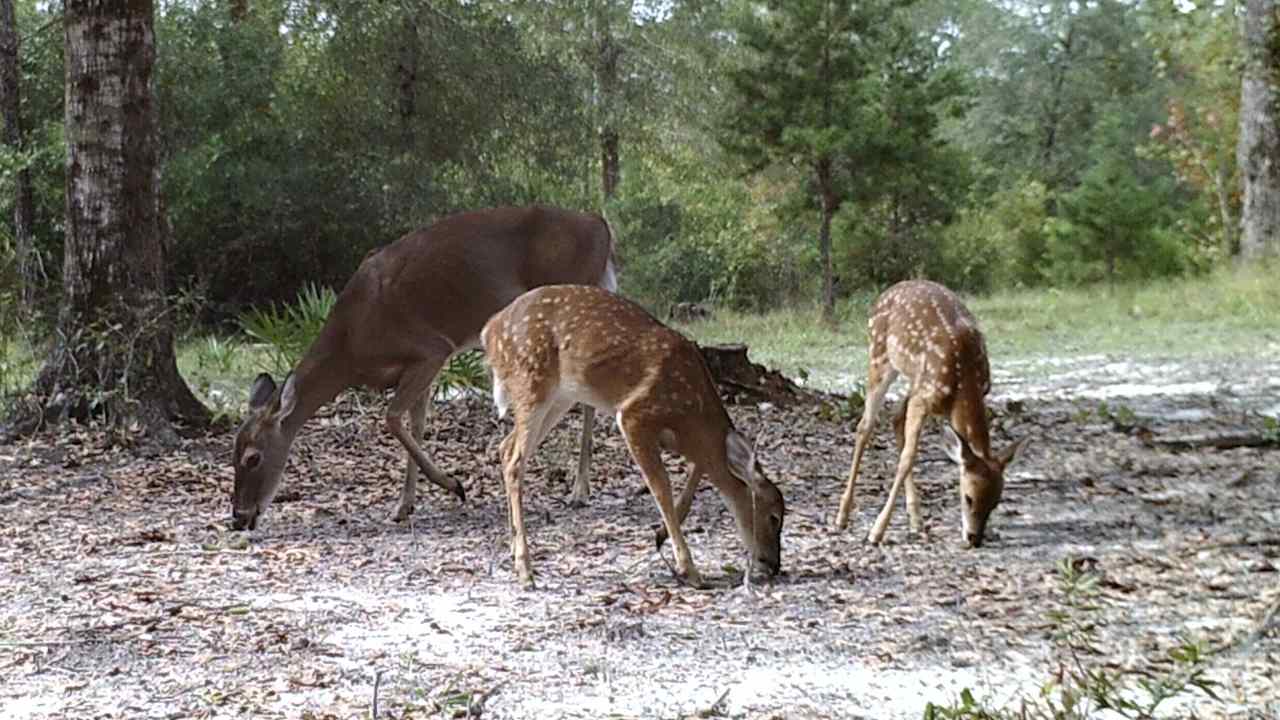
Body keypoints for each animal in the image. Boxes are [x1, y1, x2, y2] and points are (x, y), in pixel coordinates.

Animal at [231, 204, 619, 530]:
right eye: (232, 454)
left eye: (253, 458)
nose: (238, 517)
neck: (352, 347)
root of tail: (600, 224)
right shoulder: (418, 367)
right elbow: (415, 424)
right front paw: (405, 505)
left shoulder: (431, 349)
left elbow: (392, 417)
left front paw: (454, 485)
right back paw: (579, 487)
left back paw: (578, 490)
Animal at [481, 283, 778, 586]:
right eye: (774, 517)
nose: (773, 564)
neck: (691, 414)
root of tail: (489, 330)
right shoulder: (635, 414)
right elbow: (661, 487)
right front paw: (688, 569)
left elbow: (696, 473)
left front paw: (661, 537)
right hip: (532, 380)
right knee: (515, 458)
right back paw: (525, 568)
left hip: (560, 396)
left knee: (505, 448)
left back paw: (513, 549)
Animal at [829, 279, 1029, 543]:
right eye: (968, 497)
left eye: (996, 503)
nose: (974, 539)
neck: (964, 380)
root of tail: (886, 292)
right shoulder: (923, 400)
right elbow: (907, 458)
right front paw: (876, 532)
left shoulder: (928, 395)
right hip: (880, 357)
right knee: (865, 425)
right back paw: (842, 517)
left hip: (914, 378)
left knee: (895, 417)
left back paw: (916, 520)